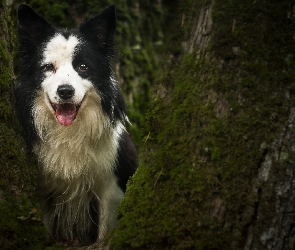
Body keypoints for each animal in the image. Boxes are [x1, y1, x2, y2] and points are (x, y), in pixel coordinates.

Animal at [15, 3, 138, 245]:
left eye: (82, 66)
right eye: (48, 67)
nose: (65, 91)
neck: (69, 132)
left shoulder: (109, 187)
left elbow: (104, 230)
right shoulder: (44, 191)